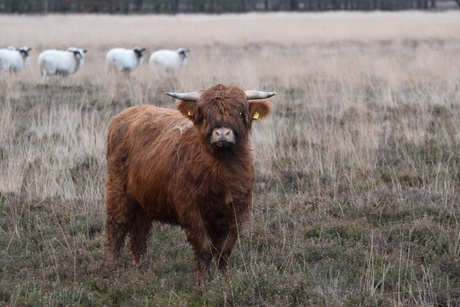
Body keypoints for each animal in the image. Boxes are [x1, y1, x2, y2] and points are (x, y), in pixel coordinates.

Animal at [105, 83, 274, 286]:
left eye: (240, 112)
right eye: (205, 113)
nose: (222, 133)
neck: (222, 174)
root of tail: (125, 113)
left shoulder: (236, 212)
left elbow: (224, 250)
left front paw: (225, 279)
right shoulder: (192, 212)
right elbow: (204, 248)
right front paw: (203, 282)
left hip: (144, 198)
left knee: (140, 229)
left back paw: (141, 265)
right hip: (117, 188)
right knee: (117, 225)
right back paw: (112, 267)